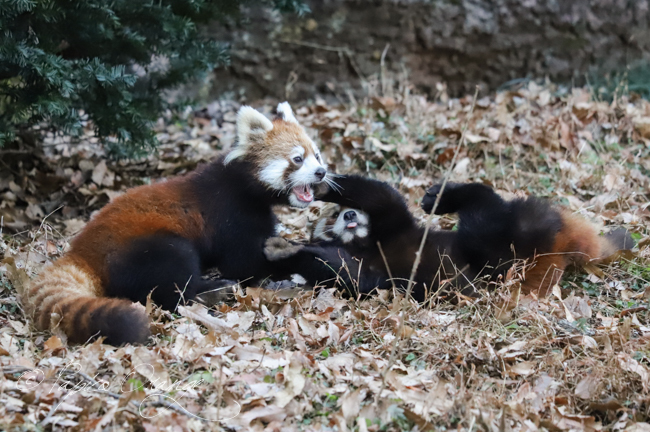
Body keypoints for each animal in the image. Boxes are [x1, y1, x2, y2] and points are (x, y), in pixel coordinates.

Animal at [24, 101, 330, 344]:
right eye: (297, 159)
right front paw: (287, 268)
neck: (245, 187)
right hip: (147, 248)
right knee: (172, 281)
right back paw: (211, 292)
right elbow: (244, 264)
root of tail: (83, 251)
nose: (321, 172)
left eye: (317, 155)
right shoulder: (230, 217)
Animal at [262, 176, 628, 300]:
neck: (367, 242)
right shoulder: (374, 275)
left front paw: (324, 184)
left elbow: (379, 195)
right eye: (334, 218)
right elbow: (351, 276)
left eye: (344, 211)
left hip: (494, 235)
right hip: (501, 254)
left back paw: (441, 196)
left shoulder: (394, 221)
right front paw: (286, 249)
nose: (349, 216)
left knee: (482, 202)